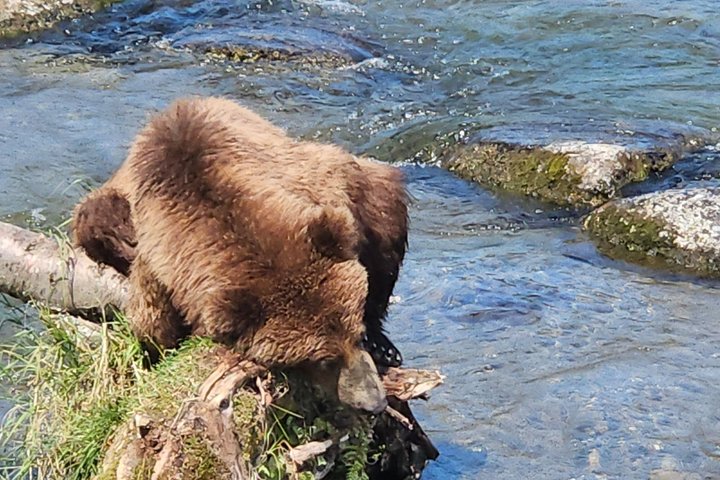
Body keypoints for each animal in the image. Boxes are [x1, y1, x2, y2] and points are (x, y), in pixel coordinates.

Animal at [71, 97, 409, 411]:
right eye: (323, 359)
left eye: (356, 331)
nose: (374, 402)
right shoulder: (155, 266)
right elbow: (152, 326)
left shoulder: (322, 182)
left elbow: (380, 210)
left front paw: (382, 342)